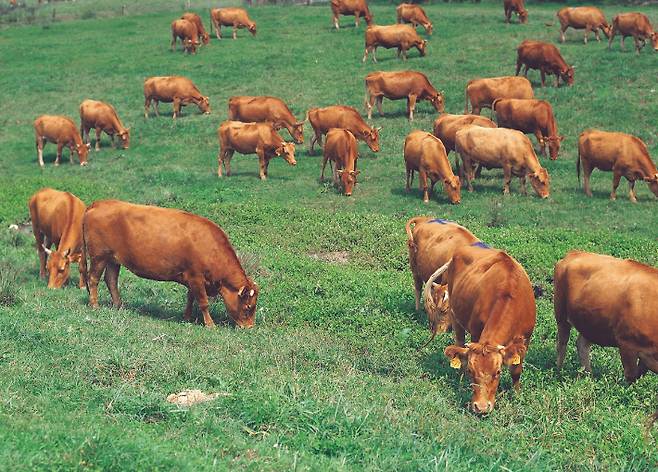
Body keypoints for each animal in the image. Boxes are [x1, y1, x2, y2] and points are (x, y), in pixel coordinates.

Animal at [80, 200, 258, 328]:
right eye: (248, 307)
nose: (250, 327)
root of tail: (99, 203)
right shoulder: (196, 277)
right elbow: (203, 302)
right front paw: (210, 324)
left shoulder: (192, 278)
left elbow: (190, 298)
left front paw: (187, 317)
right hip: (99, 257)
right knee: (93, 279)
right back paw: (94, 305)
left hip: (113, 259)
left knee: (111, 280)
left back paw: (118, 305)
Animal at [430, 243, 532, 412]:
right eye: (472, 371)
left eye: (498, 372)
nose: (482, 407)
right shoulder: (476, 333)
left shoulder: (526, 339)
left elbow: (516, 370)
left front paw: (517, 395)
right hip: (455, 314)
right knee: (459, 345)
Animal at [552, 253, 656, 382]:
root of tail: (574, 253)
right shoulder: (626, 344)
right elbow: (631, 376)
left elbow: (639, 374)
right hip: (561, 314)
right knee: (561, 343)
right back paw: (559, 372)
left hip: (591, 322)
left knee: (582, 345)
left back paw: (589, 376)